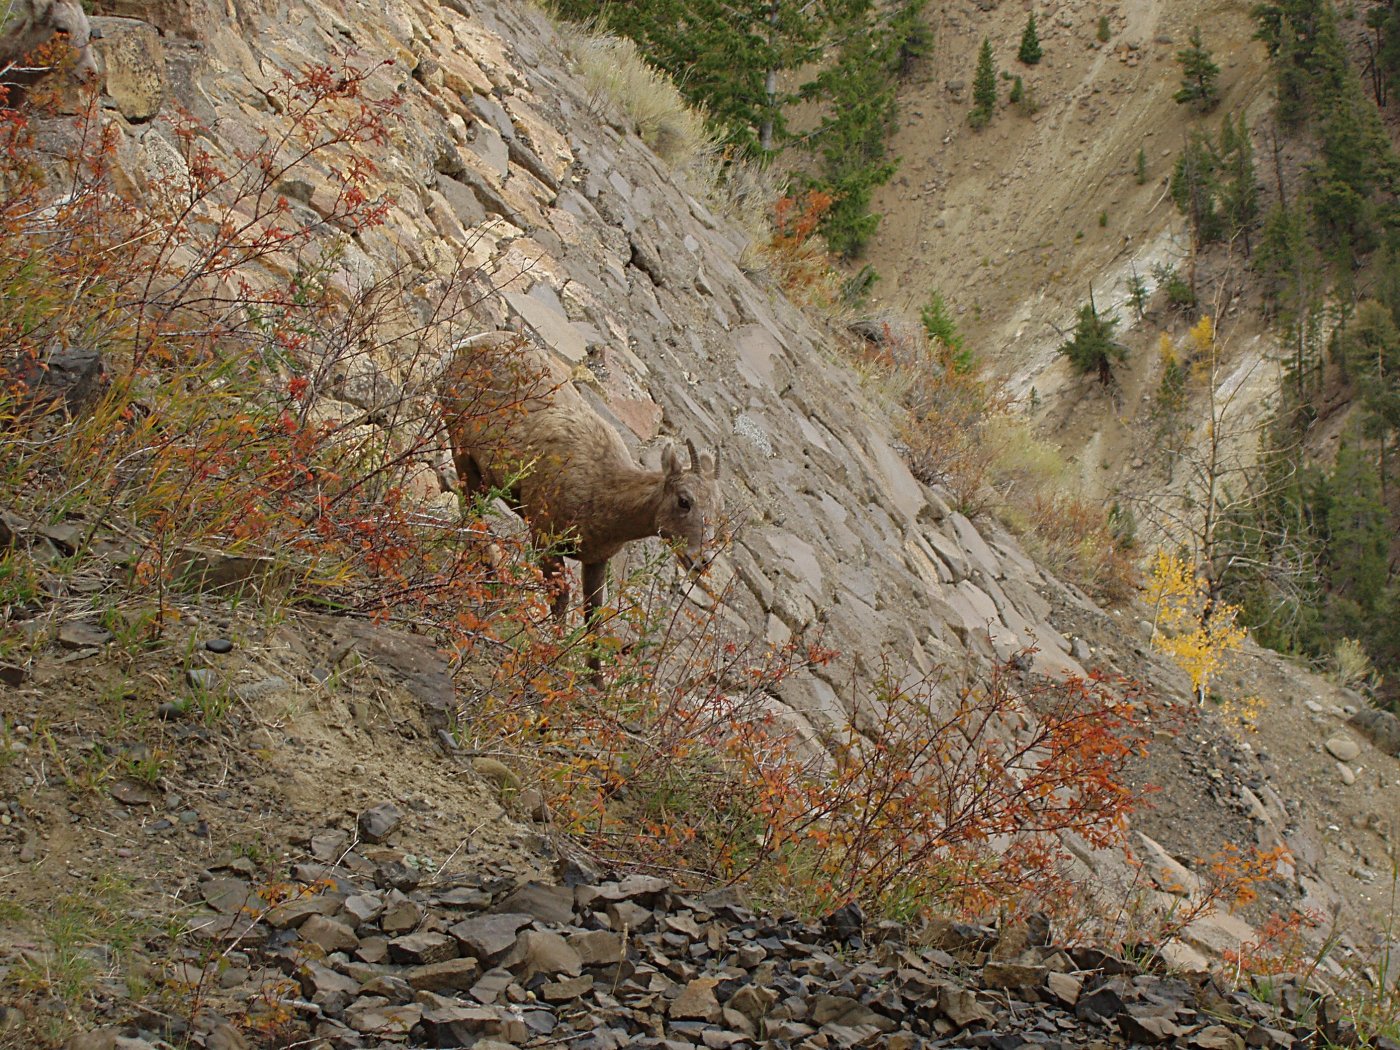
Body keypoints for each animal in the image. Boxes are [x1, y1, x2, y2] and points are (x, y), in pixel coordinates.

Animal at [436, 329, 722, 658]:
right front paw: (551, 648)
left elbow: (593, 618)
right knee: (471, 511)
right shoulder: (545, 538)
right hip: (464, 452)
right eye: (684, 501)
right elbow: (561, 598)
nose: (701, 561)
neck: (602, 491)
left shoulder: (596, 560)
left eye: (716, 514)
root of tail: (466, 343)